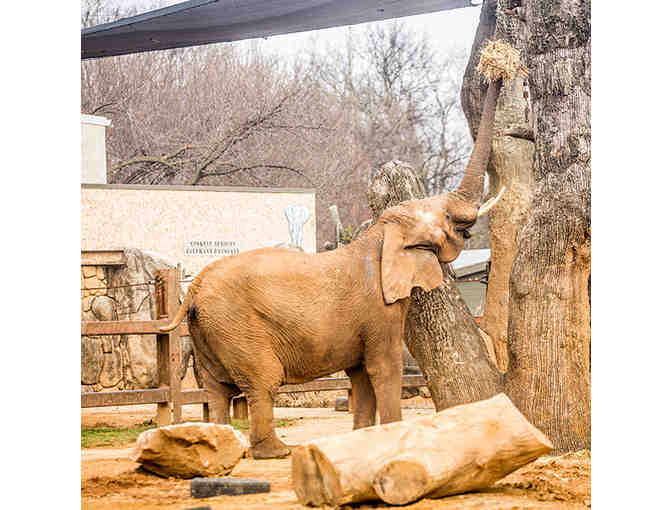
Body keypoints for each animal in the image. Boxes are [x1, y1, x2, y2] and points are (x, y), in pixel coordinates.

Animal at [159, 77, 504, 460]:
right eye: (444, 217)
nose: (495, 78)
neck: (381, 234)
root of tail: (194, 286)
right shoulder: (379, 310)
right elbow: (384, 367)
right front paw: (393, 435)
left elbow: (361, 375)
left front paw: (363, 438)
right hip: (236, 327)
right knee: (263, 380)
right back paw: (279, 451)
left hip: (208, 330)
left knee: (217, 388)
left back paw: (222, 446)